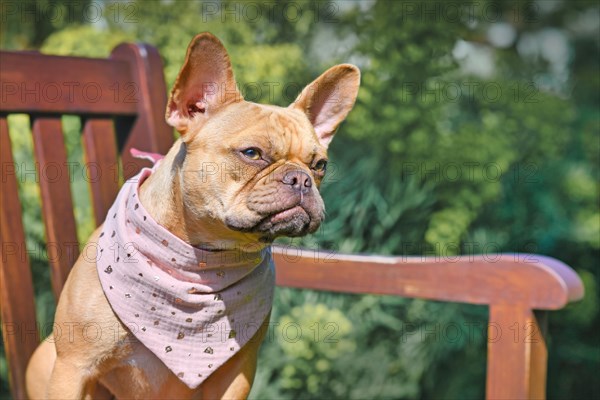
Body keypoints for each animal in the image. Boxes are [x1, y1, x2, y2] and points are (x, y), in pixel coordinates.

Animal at [25, 32, 358, 398]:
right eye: (252, 153)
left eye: (320, 165)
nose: (301, 179)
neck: (200, 262)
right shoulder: (74, 367)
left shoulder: (237, 374)